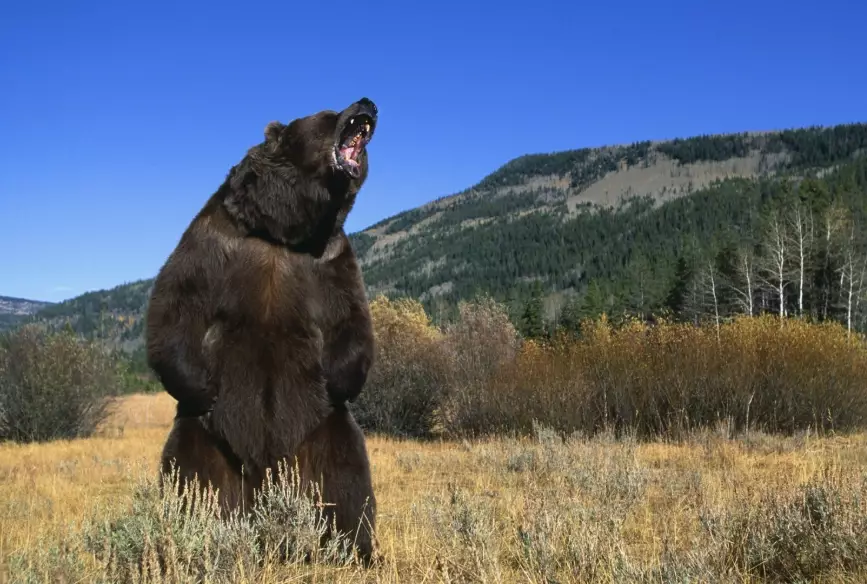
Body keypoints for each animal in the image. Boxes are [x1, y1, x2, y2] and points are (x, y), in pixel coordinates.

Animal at [145, 97, 379, 563]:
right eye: (329, 112)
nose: (368, 103)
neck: (283, 232)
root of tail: (261, 481)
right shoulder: (214, 239)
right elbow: (175, 304)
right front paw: (200, 385)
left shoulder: (332, 260)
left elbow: (351, 319)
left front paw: (338, 378)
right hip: (206, 439)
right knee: (189, 480)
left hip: (323, 433)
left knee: (346, 484)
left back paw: (354, 549)